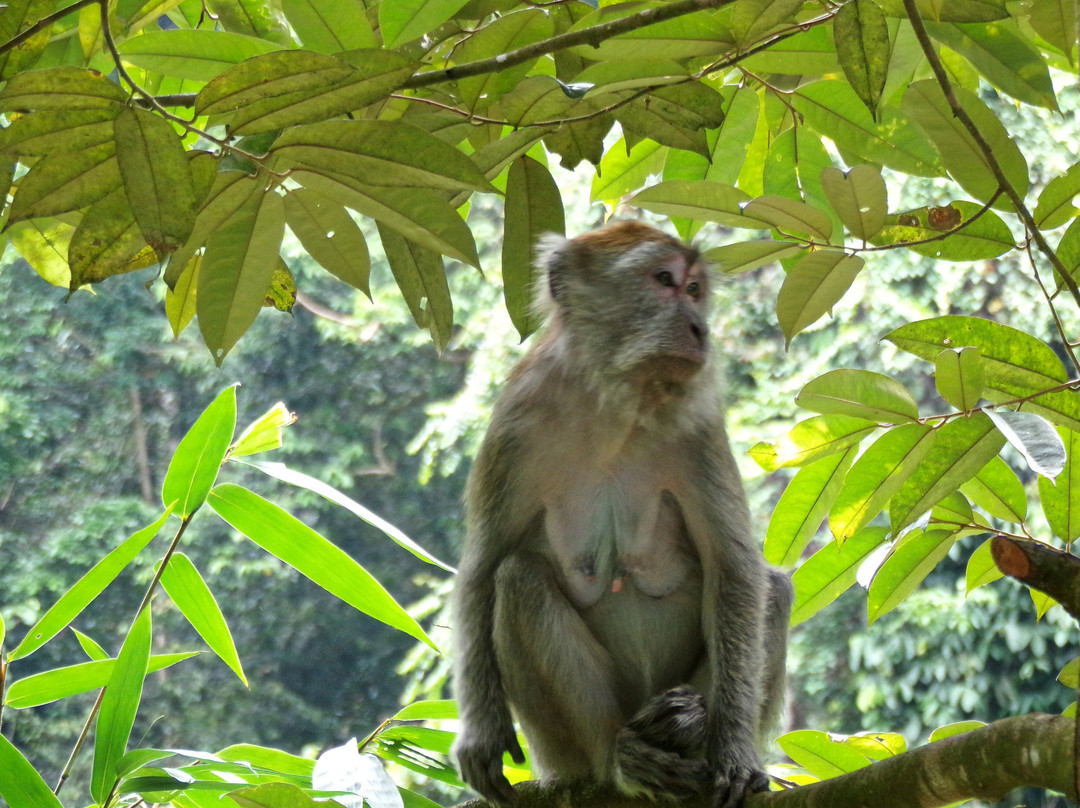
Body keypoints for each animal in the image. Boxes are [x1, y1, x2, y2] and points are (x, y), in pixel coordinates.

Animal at [452, 221, 792, 808]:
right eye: (664, 281)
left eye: (695, 289)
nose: (701, 328)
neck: (613, 399)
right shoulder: (514, 421)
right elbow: (482, 566)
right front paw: (483, 736)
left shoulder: (700, 426)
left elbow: (735, 569)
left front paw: (732, 753)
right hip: (562, 751)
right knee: (516, 579)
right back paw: (622, 761)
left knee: (772, 587)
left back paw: (684, 725)